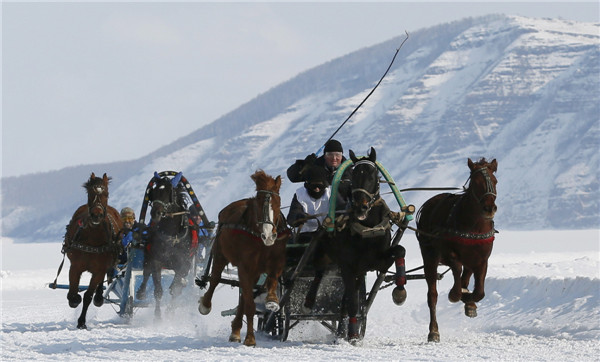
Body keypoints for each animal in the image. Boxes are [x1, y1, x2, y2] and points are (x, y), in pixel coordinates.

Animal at [63, 174, 122, 330]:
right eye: (90, 193)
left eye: (106, 194)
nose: (96, 215)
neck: (92, 238)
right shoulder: (75, 267)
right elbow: (72, 293)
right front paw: (75, 298)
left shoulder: (99, 270)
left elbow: (88, 296)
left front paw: (81, 321)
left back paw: (99, 297)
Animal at [135, 172, 195, 316]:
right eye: (153, 192)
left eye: (170, 192)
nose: (155, 213)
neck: (171, 236)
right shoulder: (156, 260)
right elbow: (157, 289)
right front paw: (158, 316)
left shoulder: (183, 264)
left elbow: (175, 289)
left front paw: (169, 311)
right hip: (148, 255)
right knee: (146, 272)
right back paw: (141, 292)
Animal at [198, 171, 290, 346]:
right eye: (259, 203)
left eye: (277, 202)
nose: (268, 235)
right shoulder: (245, 266)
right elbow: (250, 306)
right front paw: (250, 338)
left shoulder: (276, 260)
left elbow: (272, 279)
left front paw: (272, 300)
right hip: (220, 255)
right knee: (215, 279)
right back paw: (206, 305)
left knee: (244, 296)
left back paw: (235, 330)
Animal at [324, 148, 408, 344]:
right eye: (353, 177)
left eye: (374, 175)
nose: (361, 207)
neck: (368, 230)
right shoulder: (348, 267)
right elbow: (353, 303)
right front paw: (353, 335)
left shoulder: (380, 261)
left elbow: (400, 251)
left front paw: (400, 292)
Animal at [418, 158, 496, 342]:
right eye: (475, 183)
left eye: (495, 181)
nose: (489, 208)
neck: (474, 226)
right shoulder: (450, 254)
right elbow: (456, 268)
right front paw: (455, 294)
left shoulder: (482, 259)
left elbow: (479, 292)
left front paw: (469, 300)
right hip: (429, 257)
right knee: (432, 294)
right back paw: (433, 331)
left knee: (466, 277)